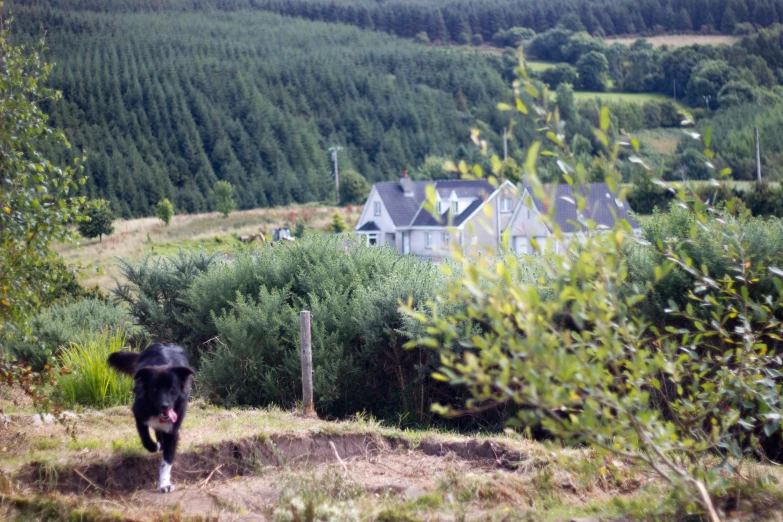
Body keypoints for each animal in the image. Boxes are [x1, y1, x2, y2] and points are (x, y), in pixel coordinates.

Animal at [108, 344, 194, 490]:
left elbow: (166, 462)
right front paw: (155, 446)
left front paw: (165, 484)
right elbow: (146, 439)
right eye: (155, 389)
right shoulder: (139, 414)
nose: (164, 406)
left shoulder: (172, 431)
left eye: (172, 388)